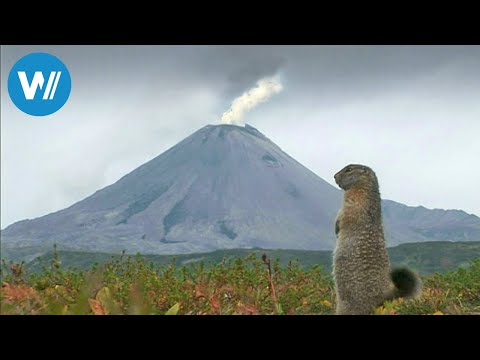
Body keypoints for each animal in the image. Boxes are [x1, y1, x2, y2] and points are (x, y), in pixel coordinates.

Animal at [334, 165, 420, 314]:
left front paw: (337, 227)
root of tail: (381, 300)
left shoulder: (354, 202)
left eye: (349, 169)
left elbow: (344, 215)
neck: (362, 188)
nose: (334, 176)